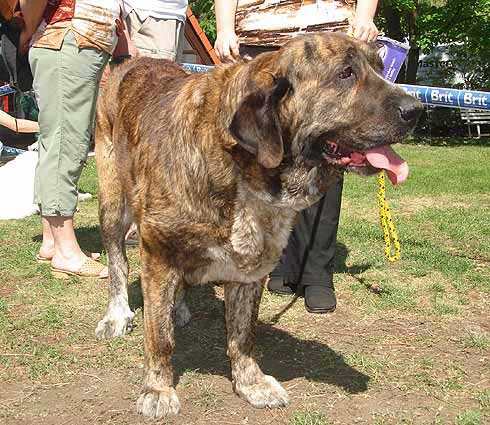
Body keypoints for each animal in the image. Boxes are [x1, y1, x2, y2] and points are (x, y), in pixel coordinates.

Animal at [94, 33, 422, 418]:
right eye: (345, 73)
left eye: (380, 68)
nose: (417, 110)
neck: (242, 167)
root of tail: (132, 62)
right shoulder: (159, 253)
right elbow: (159, 337)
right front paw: (158, 388)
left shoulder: (251, 267)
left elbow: (243, 335)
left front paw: (250, 382)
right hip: (113, 204)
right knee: (118, 263)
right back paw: (118, 315)